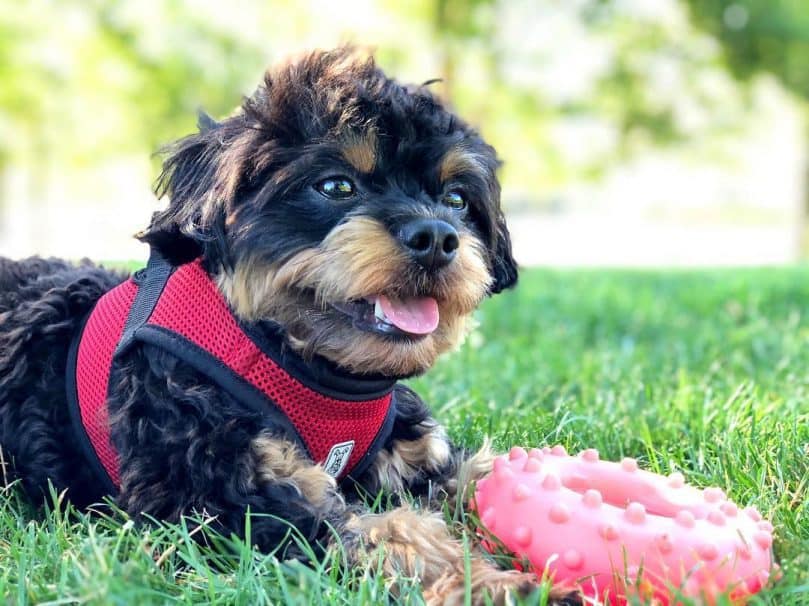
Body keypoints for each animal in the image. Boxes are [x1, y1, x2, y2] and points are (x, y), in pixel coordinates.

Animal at [0, 48, 580, 606]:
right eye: (336, 185)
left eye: (457, 199)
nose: (436, 237)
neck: (296, 358)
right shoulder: (214, 498)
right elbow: (390, 533)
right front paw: (499, 584)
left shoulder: (418, 456)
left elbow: (474, 473)